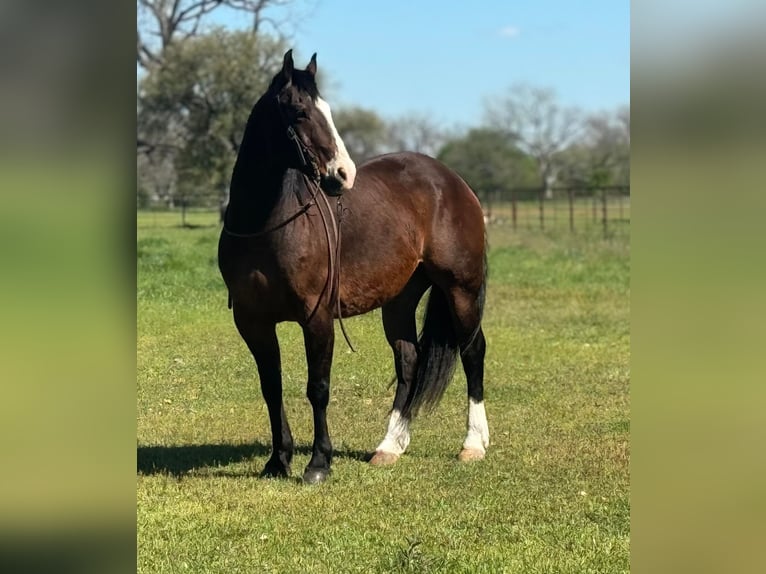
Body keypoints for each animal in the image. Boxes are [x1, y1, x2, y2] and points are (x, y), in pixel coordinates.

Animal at [219, 49, 488, 484]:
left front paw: (318, 464)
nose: (343, 174)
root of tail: (452, 181)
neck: (266, 226)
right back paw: (389, 447)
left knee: (473, 352)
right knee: (409, 360)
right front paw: (278, 461)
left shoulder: (317, 318)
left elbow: (318, 387)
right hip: (399, 301)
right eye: (299, 112)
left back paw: (473, 445)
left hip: (460, 290)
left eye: (326, 109)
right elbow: (271, 387)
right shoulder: (252, 321)